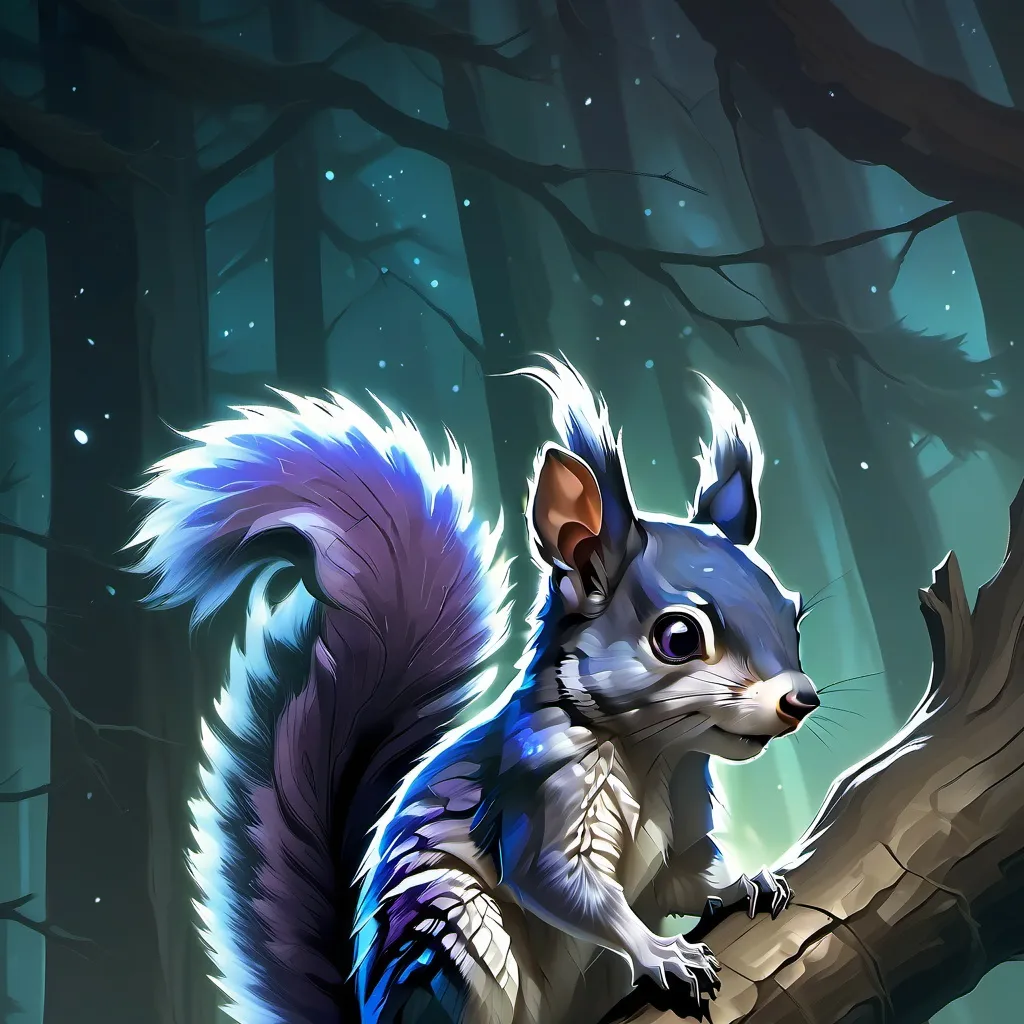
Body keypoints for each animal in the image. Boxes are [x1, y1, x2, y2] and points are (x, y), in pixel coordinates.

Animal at [127, 354, 818, 1024]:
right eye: (677, 636)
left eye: (794, 612)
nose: (800, 701)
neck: (655, 755)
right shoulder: (540, 794)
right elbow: (562, 885)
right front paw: (660, 951)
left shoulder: (684, 826)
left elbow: (691, 877)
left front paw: (750, 882)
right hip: (454, 938)